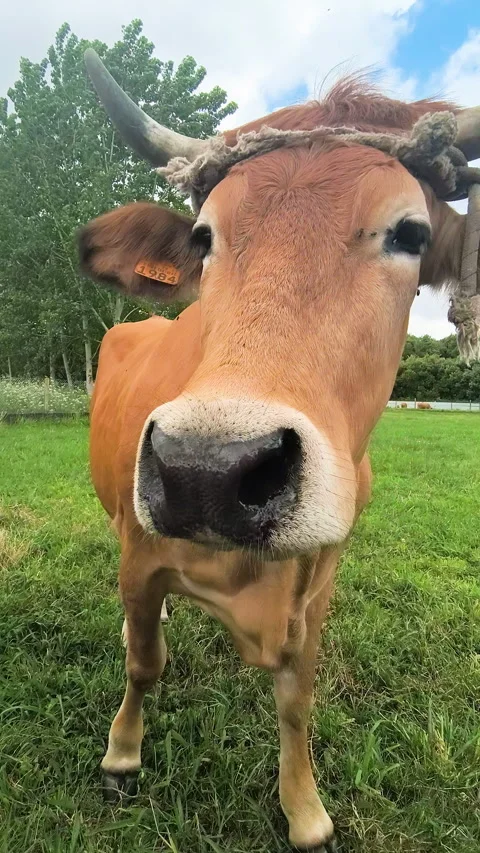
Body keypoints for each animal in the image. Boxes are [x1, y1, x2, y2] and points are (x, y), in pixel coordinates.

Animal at [78, 49, 480, 852]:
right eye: (203, 238)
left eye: (411, 234)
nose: (206, 470)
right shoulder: (139, 557)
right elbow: (143, 663)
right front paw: (122, 753)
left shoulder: (317, 579)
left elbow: (298, 697)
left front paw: (305, 808)